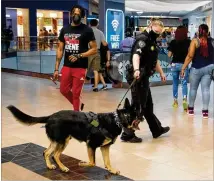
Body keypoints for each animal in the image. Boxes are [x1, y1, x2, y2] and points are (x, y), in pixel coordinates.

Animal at [6, 98, 139, 175]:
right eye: (138, 114)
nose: (142, 118)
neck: (117, 120)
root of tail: (50, 116)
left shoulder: (105, 147)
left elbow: (107, 161)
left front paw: (111, 169)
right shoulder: (91, 144)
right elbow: (92, 162)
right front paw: (83, 163)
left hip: (59, 141)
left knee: (47, 153)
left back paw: (50, 166)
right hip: (62, 141)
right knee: (55, 154)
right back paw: (63, 168)